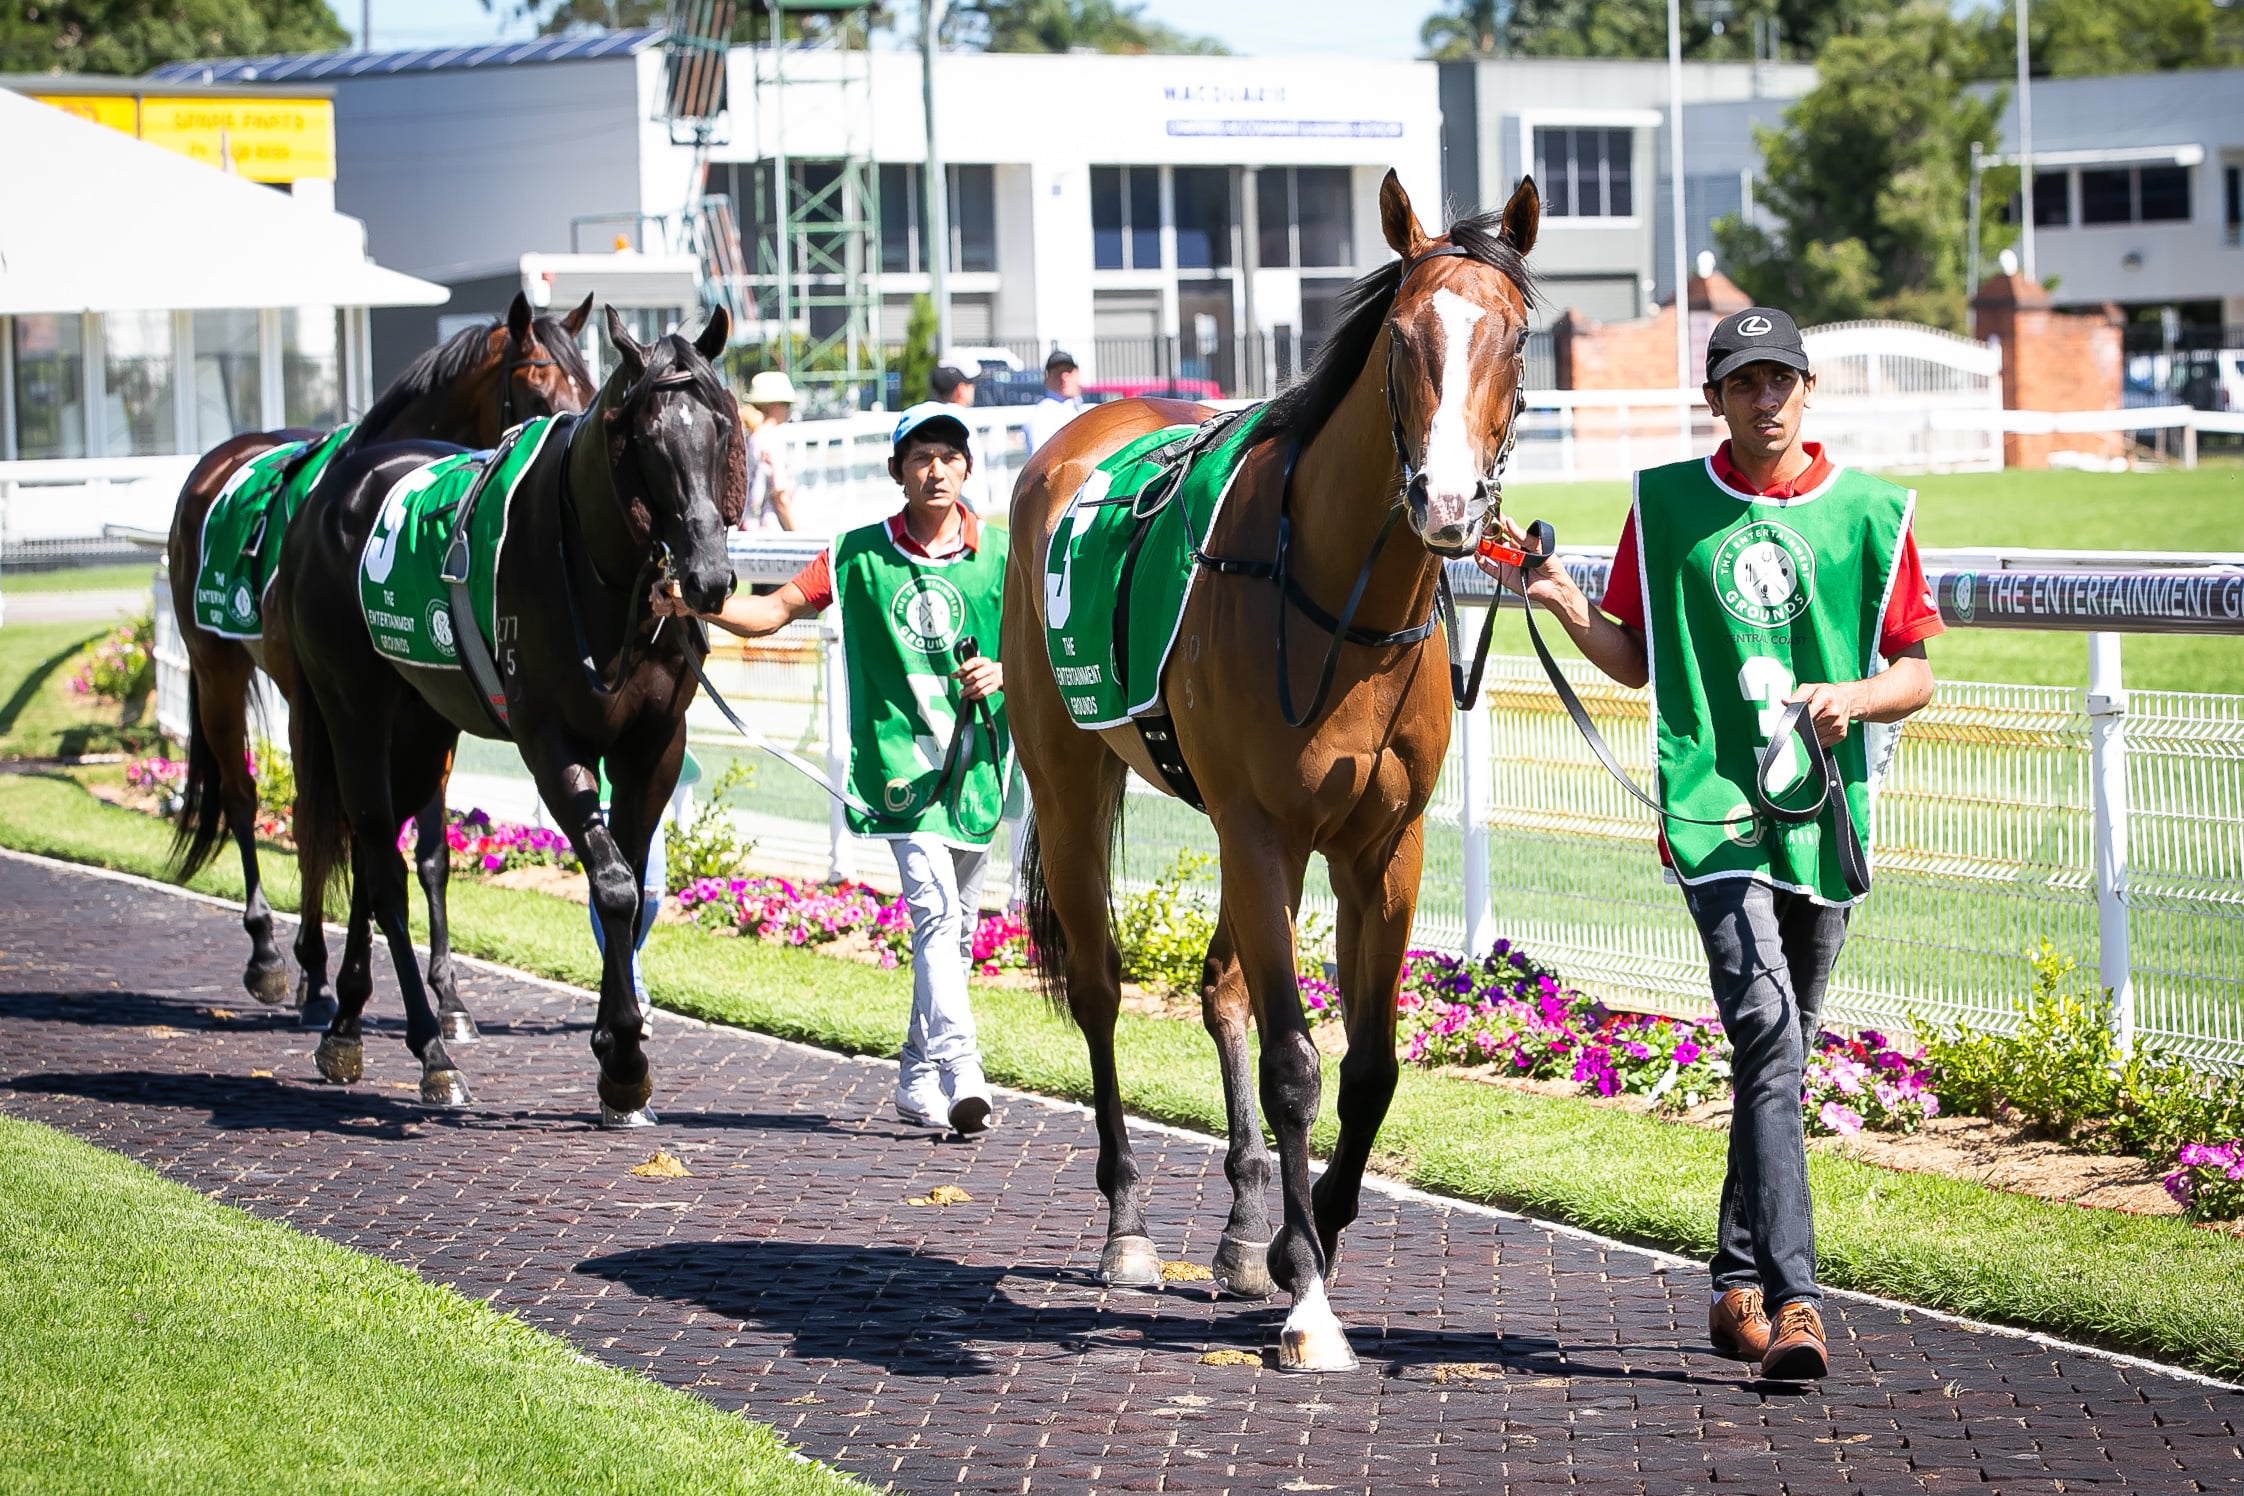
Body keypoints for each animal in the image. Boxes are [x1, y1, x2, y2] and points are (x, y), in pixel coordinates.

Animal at [277, 309, 740, 1116]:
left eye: (718, 424)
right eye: (648, 435)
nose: (708, 577)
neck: (599, 573)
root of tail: (331, 490)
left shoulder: (655, 742)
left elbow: (628, 881)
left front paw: (615, 1051)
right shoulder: (549, 738)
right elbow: (613, 883)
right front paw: (625, 1058)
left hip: (421, 721)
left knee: (372, 856)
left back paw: (347, 1024)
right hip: (351, 707)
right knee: (380, 862)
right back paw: (431, 1052)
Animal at [1009, 172, 1534, 1372]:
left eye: (1518, 336)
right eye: (1403, 337)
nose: (1447, 504)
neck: (1338, 599)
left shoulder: (1381, 845)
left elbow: (1371, 1064)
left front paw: (1308, 1240)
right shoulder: (1260, 827)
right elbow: (1299, 1061)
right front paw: (1312, 1306)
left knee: (1221, 989)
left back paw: (1250, 1226)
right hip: (1069, 775)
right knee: (1103, 986)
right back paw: (1129, 1224)